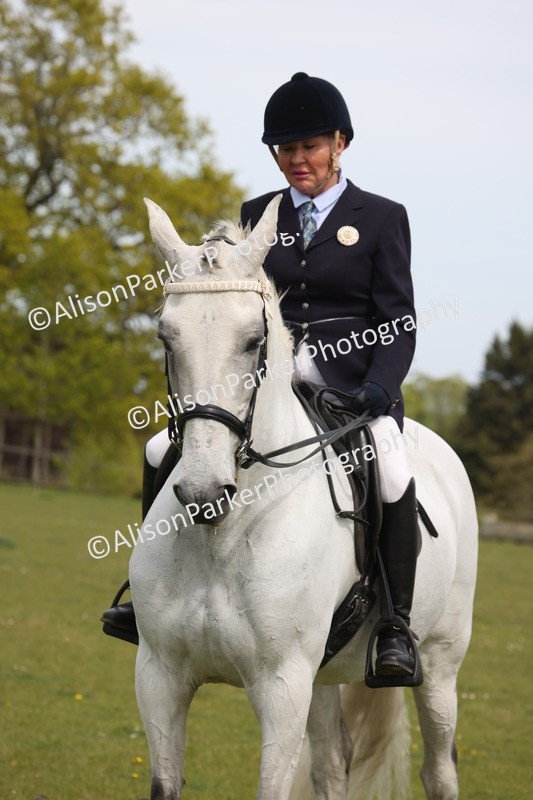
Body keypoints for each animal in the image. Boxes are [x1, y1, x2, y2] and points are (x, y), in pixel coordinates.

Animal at [129, 194, 478, 800]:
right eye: (165, 338)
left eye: (253, 340)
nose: (203, 492)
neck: (222, 537)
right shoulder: (159, 676)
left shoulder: (282, 685)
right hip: (322, 675)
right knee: (333, 763)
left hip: (438, 663)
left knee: (440, 767)